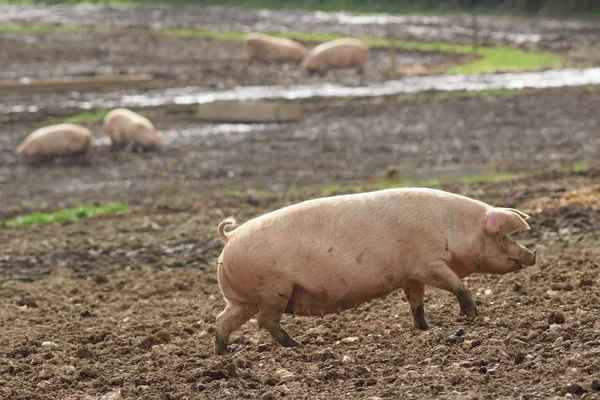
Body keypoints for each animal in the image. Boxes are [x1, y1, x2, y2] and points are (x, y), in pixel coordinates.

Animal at [213, 188, 536, 354]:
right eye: (502, 236)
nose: (531, 255)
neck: (454, 228)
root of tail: (230, 237)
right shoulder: (429, 264)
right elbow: (457, 285)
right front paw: (472, 316)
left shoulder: (411, 276)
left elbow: (416, 303)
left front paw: (425, 329)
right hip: (273, 290)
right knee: (265, 322)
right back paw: (297, 345)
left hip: (244, 298)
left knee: (223, 320)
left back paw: (221, 354)